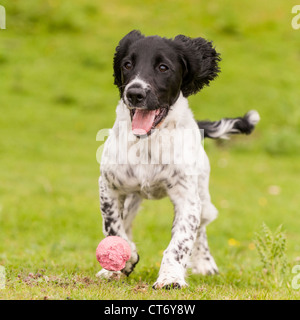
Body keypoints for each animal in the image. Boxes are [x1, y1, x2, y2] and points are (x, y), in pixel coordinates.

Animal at [96, 30, 260, 288]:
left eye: (163, 67)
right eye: (127, 64)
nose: (134, 93)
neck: (149, 141)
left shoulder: (187, 197)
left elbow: (181, 241)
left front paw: (170, 277)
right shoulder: (109, 186)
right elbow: (113, 227)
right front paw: (123, 261)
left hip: (202, 194)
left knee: (201, 227)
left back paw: (205, 263)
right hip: (133, 197)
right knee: (127, 221)